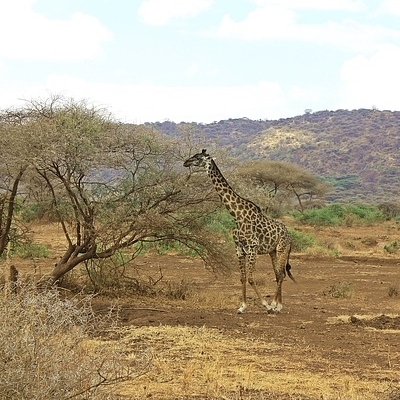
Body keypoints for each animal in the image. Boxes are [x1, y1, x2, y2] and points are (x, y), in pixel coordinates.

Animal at [184, 148, 294, 314]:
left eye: (198, 157)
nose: (186, 162)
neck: (236, 215)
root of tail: (290, 236)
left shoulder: (252, 248)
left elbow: (251, 278)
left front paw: (266, 305)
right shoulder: (239, 249)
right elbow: (242, 278)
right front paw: (242, 307)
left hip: (282, 249)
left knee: (281, 275)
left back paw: (276, 306)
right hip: (272, 251)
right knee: (278, 274)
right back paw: (278, 305)